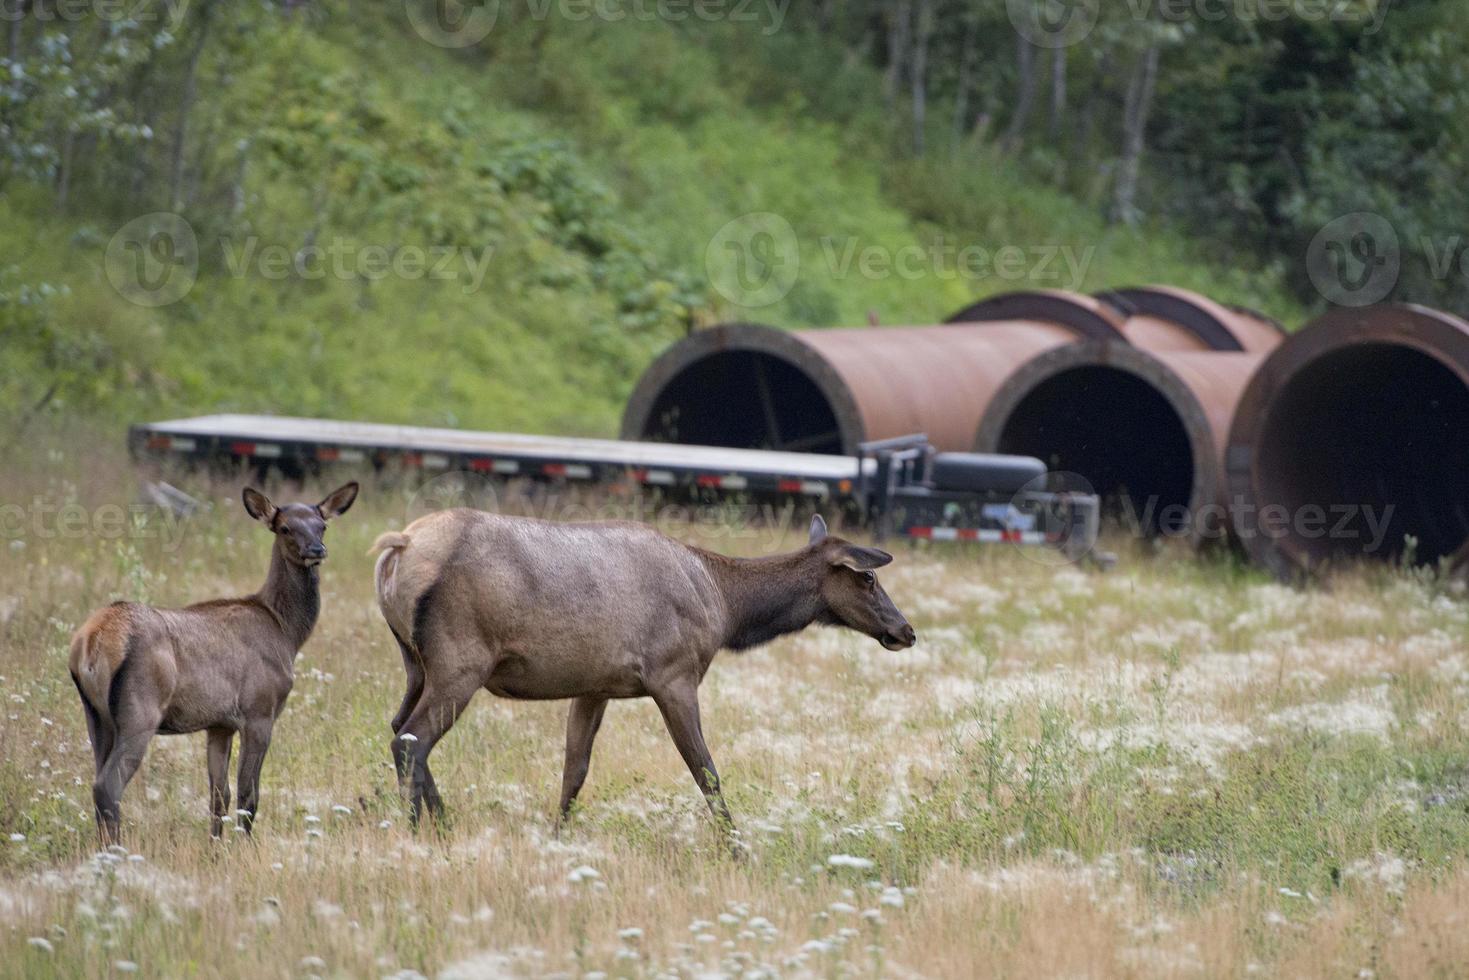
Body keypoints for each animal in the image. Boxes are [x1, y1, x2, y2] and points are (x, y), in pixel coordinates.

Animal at [69, 481, 358, 846]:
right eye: (285, 528)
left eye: (322, 525)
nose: (316, 549)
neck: (286, 632)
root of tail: (90, 642)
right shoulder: (259, 710)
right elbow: (249, 795)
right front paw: (246, 847)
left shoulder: (219, 724)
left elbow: (219, 795)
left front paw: (215, 847)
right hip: (140, 707)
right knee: (108, 784)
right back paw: (116, 851)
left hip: (95, 714)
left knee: (98, 782)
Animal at [373, 511, 910, 840]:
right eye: (868, 577)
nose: (905, 630)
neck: (724, 609)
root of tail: (398, 548)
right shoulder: (674, 675)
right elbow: (706, 771)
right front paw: (737, 847)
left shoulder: (595, 685)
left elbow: (574, 769)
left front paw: (556, 837)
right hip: (460, 659)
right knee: (411, 739)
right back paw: (422, 829)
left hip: (415, 662)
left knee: (398, 726)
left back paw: (442, 824)